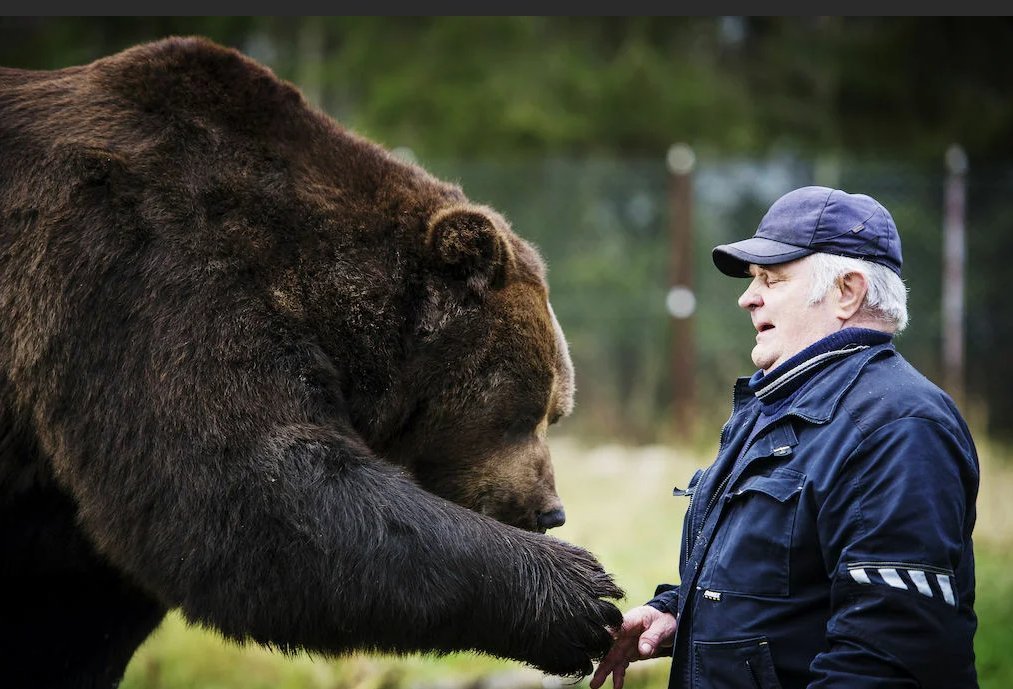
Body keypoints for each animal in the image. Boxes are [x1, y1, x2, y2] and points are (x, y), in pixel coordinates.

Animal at [0, 39, 624, 689]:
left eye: (557, 412)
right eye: (524, 413)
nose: (550, 511)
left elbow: (73, 614)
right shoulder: (143, 267)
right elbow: (249, 486)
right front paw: (581, 593)